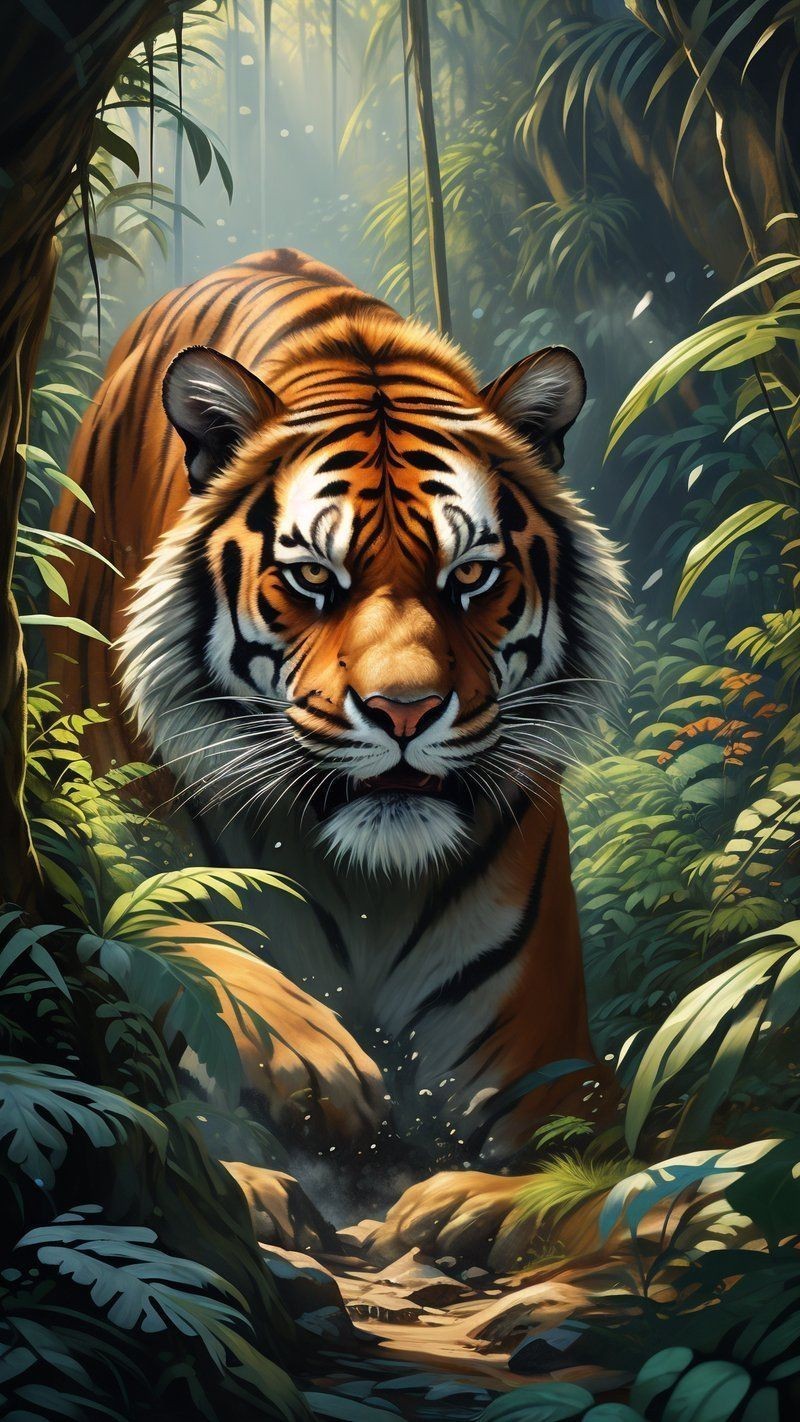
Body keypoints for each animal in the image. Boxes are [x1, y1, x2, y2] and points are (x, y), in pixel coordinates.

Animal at [51, 248, 625, 1242]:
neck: (369, 885)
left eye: (472, 574)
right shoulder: (114, 841)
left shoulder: (552, 1067)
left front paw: (468, 1202)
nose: (404, 711)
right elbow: (170, 934)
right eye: (315, 577)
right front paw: (312, 1072)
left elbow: (592, 1173)